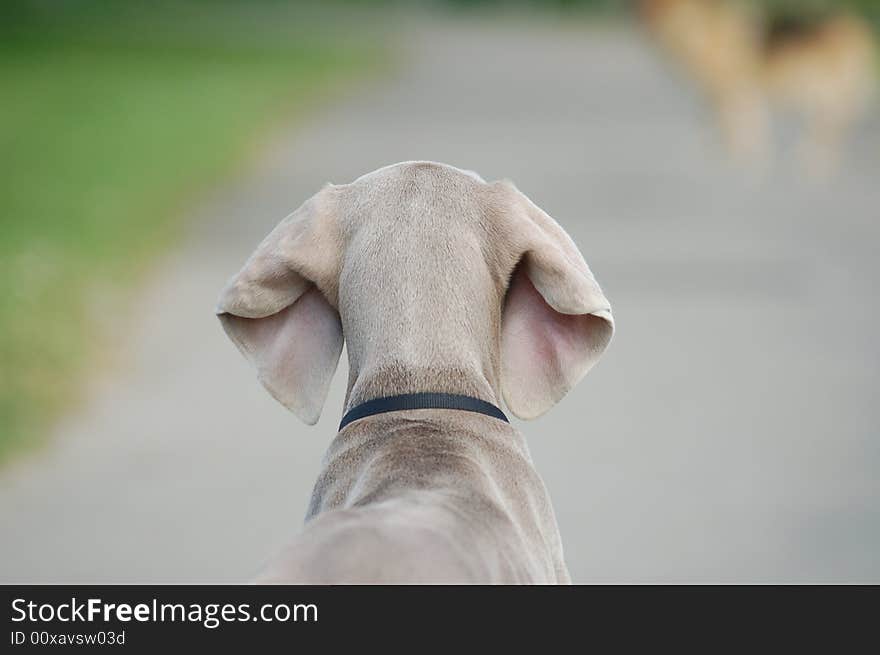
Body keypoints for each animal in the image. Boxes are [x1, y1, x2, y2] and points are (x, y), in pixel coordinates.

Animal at [640, 0, 872, 177]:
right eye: (650, 10)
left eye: (665, 10)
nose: (650, 27)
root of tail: (855, 29)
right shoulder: (734, 94)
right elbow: (737, 127)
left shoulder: (736, 90)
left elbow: (737, 128)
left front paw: (740, 161)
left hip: (828, 96)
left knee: (831, 130)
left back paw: (812, 165)